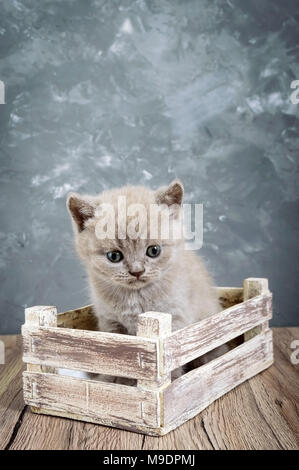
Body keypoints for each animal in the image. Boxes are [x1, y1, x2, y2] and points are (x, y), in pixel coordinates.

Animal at [67, 180, 223, 382]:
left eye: (154, 251)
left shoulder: (176, 321)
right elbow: (116, 361)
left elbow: (172, 363)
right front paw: (116, 382)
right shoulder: (111, 324)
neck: (135, 298)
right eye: (114, 256)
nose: (137, 271)